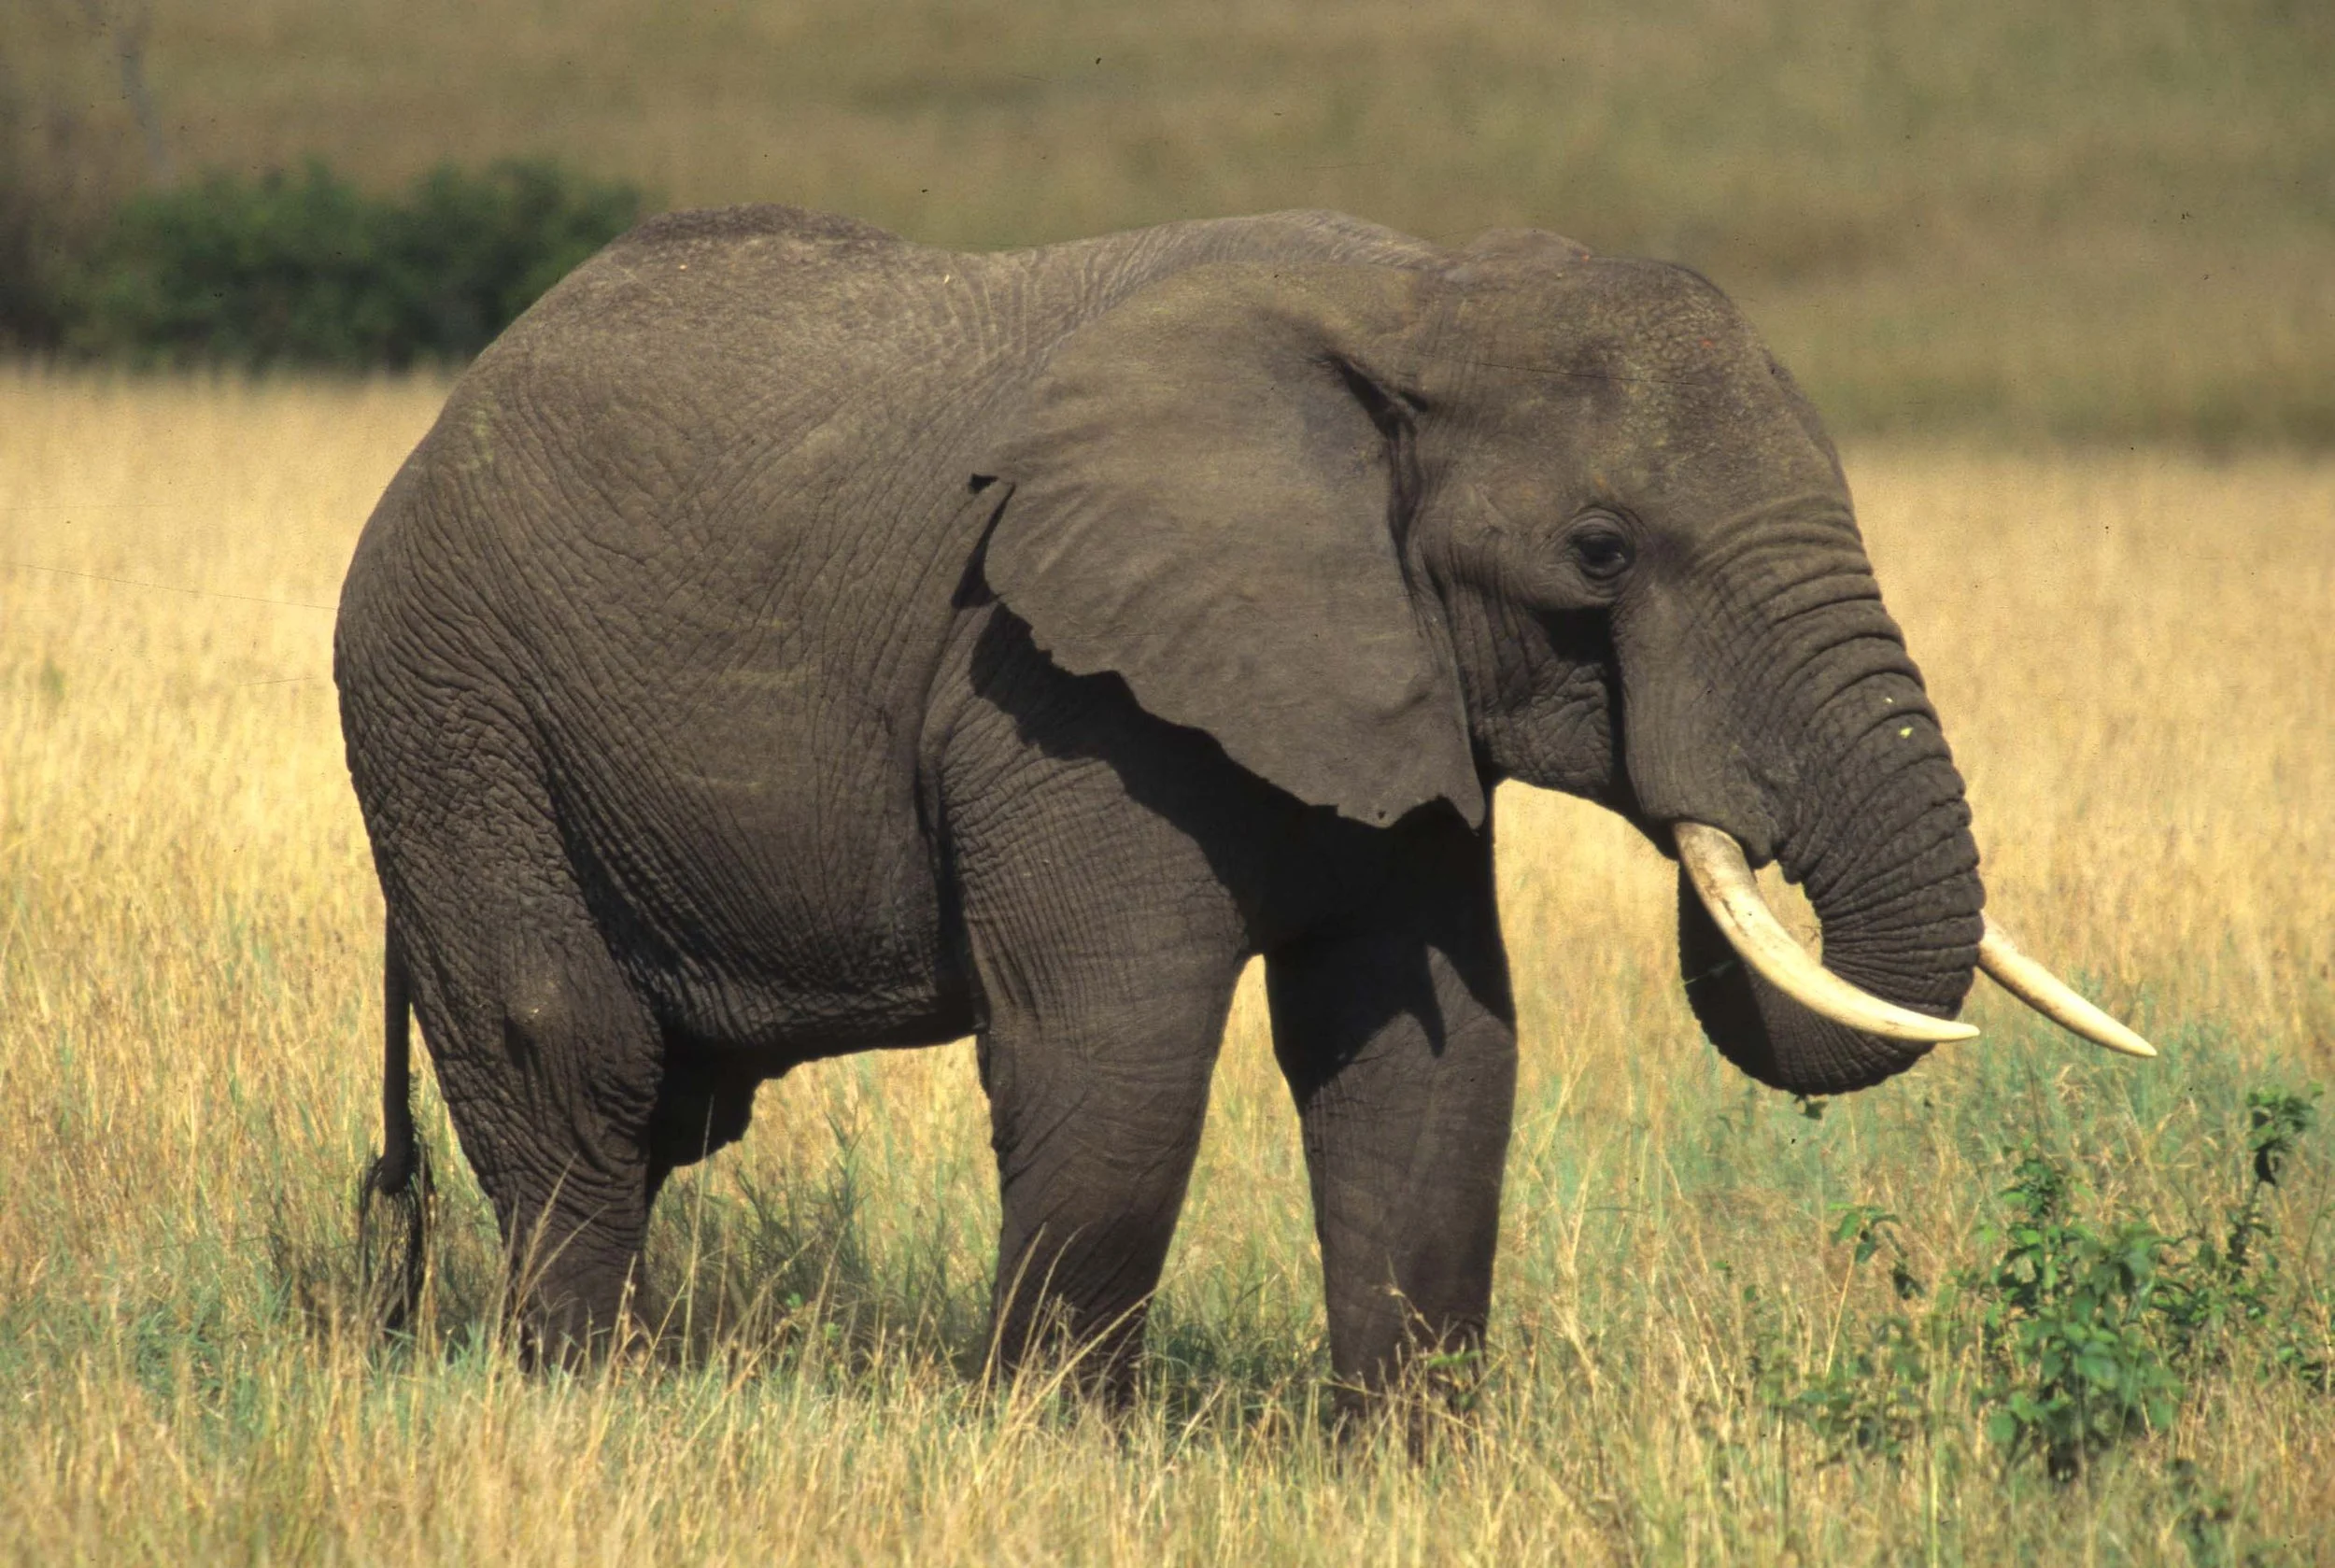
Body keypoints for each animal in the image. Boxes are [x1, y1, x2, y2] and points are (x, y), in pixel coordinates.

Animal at [336, 204, 2151, 1391]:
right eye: (1600, 552)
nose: (1728, 818)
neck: (1421, 297)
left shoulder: (1390, 685)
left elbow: (1433, 1053)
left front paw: (1409, 1470)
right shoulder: (1050, 680)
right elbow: (1116, 1052)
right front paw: (1047, 1451)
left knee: (656, 1107)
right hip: (447, 707)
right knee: (566, 1053)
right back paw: (591, 1398)